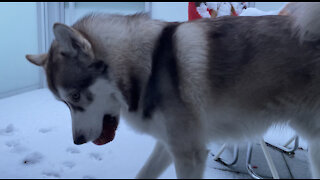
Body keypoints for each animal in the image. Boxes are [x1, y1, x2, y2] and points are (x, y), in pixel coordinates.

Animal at [26, 2, 320, 179]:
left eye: (75, 97)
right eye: (63, 102)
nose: (77, 141)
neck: (146, 68)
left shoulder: (189, 153)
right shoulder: (169, 145)